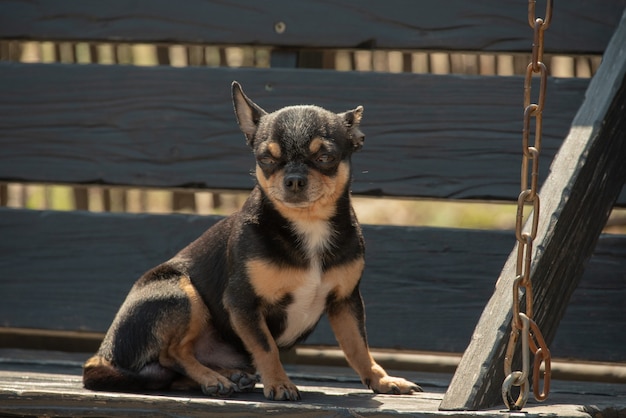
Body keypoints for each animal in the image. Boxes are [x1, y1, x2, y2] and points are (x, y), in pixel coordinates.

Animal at [81, 82, 420, 402]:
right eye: (266, 159)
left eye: (325, 157)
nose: (294, 179)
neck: (308, 226)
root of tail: (103, 355)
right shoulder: (243, 302)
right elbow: (265, 346)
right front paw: (280, 383)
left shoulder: (346, 302)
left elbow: (357, 346)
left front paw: (380, 380)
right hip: (180, 291)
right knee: (172, 353)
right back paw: (214, 379)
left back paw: (230, 375)